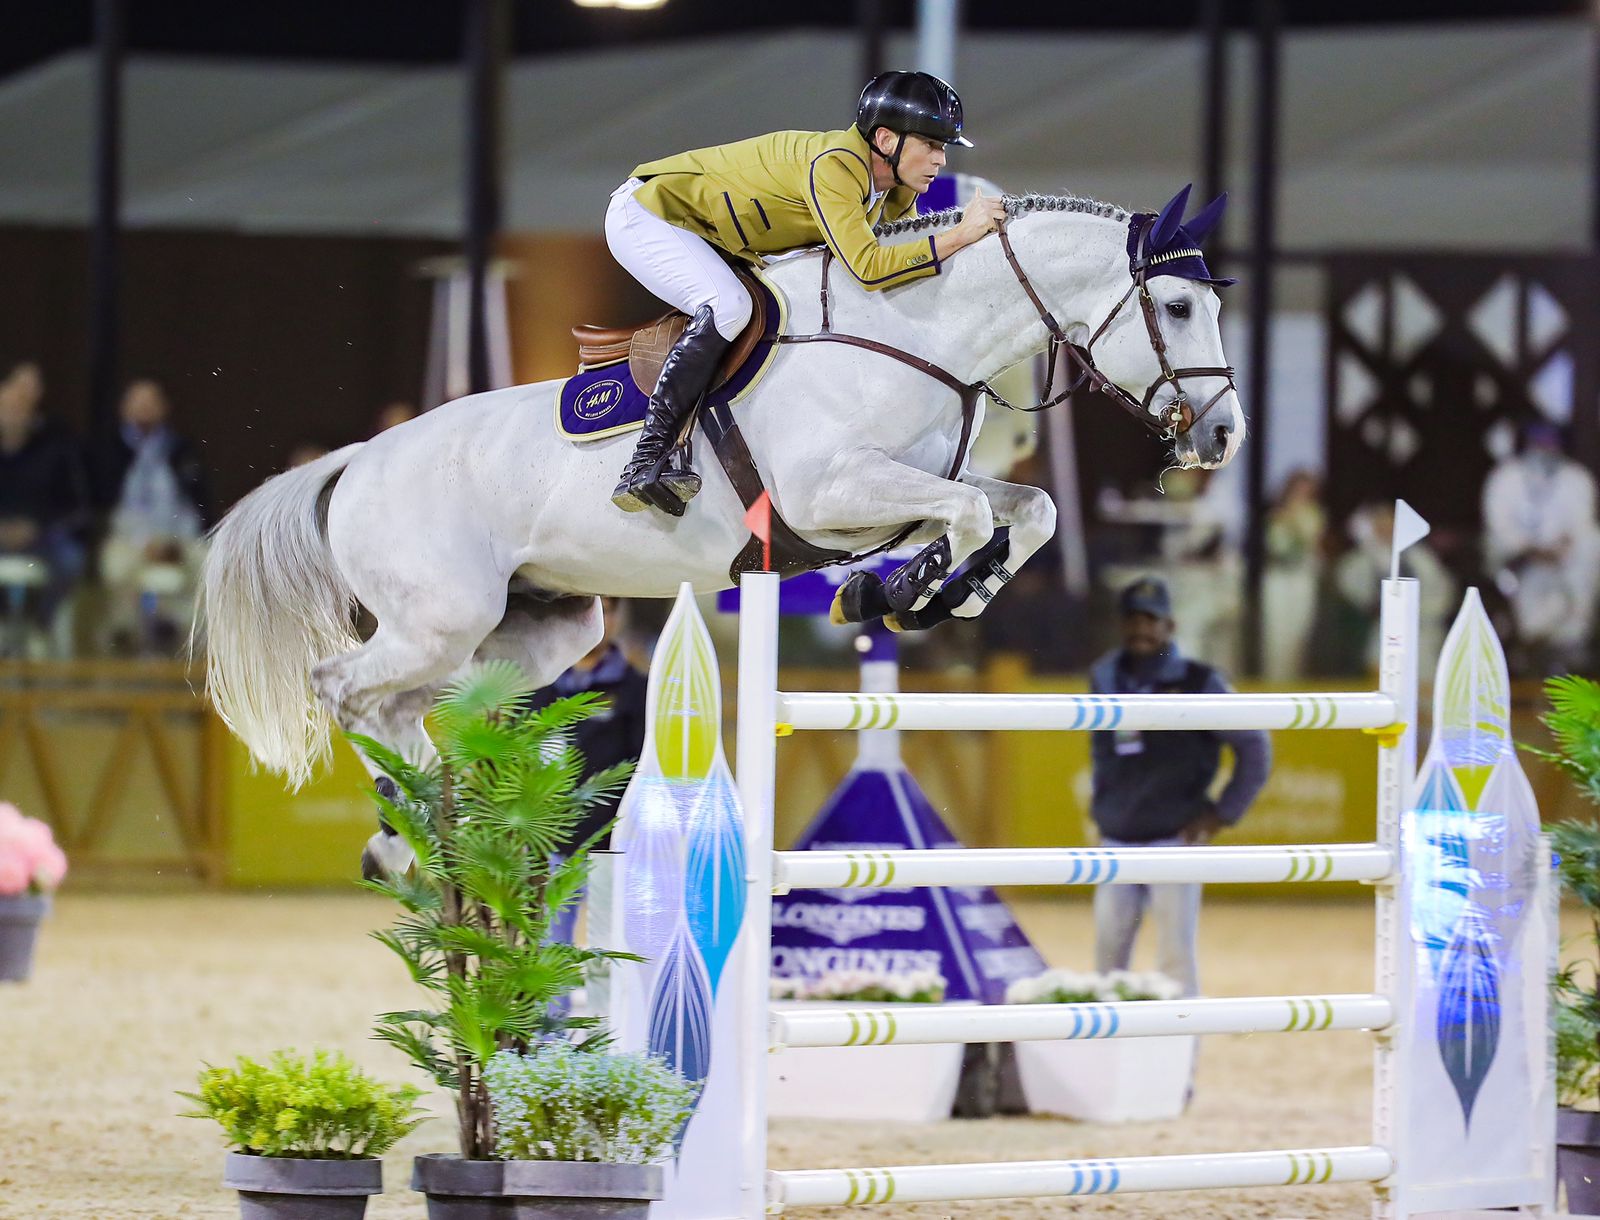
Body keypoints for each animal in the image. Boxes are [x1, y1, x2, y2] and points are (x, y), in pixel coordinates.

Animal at [200, 188, 1241, 858]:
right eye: (1177, 304)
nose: (1223, 434)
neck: (915, 337)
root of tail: (356, 461)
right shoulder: (831, 493)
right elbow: (973, 506)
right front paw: (906, 588)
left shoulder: (894, 489)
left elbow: (1025, 507)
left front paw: (945, 589)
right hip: (439, 618)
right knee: (343, 689)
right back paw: (414, 817)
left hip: (533, 631)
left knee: (415, 706)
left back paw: (429, 821)